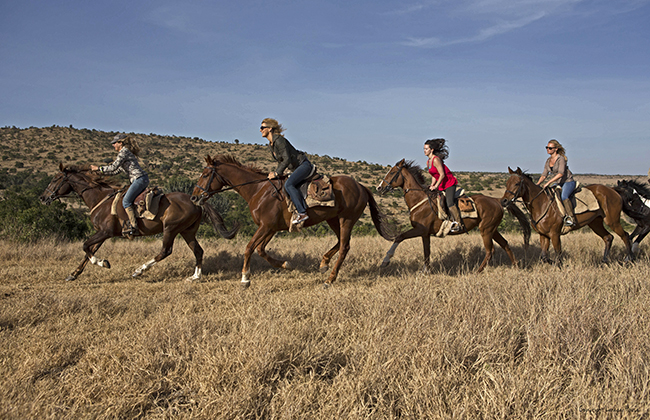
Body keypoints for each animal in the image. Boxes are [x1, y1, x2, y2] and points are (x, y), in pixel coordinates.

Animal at [38, 164, 237, 282]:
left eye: (56, 179)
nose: (43, 197)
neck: (100, 198)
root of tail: (195, 201)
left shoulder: (105, 232)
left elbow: (85, 247)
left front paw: (103, 263)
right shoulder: (102, 234)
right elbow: (88, 251)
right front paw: (74, 274)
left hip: (170, 229)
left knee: (165, 251)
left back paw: (139, 270)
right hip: (187, 231)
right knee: (198, 251)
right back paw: (195, 277)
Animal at [190, 154, 398, 288]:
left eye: (205, 175)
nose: (194, 197)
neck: (259, 190)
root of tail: (361, 186)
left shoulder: (265, 227)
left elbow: (249, 248)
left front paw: (245, 279)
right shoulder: (270, 228)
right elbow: (261, 250)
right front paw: (285, 264)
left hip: (346, 220)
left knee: (345, 247)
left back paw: (329, 279)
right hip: (333, 219)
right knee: (340, 243)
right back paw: (323, 263)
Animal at [372, 160, 528, 272]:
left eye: (392, 172)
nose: (379, 188)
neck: (420, 200)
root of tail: (497, 200)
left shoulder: (420, 230)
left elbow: (400, 237)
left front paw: (385, 261)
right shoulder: (425, 233)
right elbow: (426, 251)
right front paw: (425, 271)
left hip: (486, 229)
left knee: (490, 251)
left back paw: (477, 271)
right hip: (492, 229)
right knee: (505, 244)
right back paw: (516, 267)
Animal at [498, 167, 632, 262]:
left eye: (516, 183)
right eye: (507, 183)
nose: (503, 201)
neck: (541, 203)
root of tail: (613, 190)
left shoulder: (555, 234)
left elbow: (558, 255)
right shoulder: (544, 235)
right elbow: (544, 257)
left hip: (612, 221)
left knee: (625, 236)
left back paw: (629, 259)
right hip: (595, 223)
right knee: (608, 237)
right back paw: (605, 260)